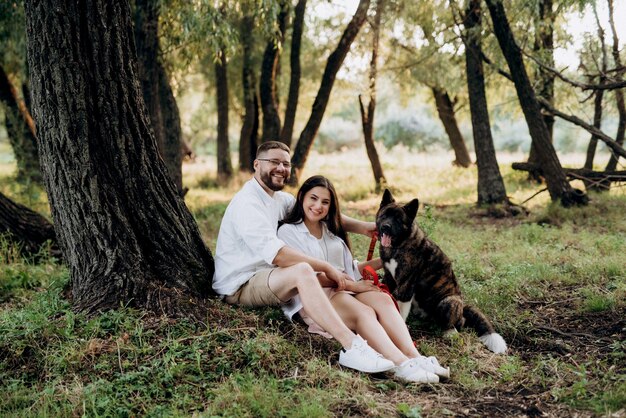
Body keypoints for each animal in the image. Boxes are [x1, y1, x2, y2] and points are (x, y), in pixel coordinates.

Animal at [372, 189, 504, 352]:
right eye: (384, 215)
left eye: (397, 219)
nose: (385, 227)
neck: (399, 245)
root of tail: (463, 306)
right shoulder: (389, 278)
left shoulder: (405, 287)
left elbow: (399, 312)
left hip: (449, 301)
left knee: (459, 322)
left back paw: (449, 332)